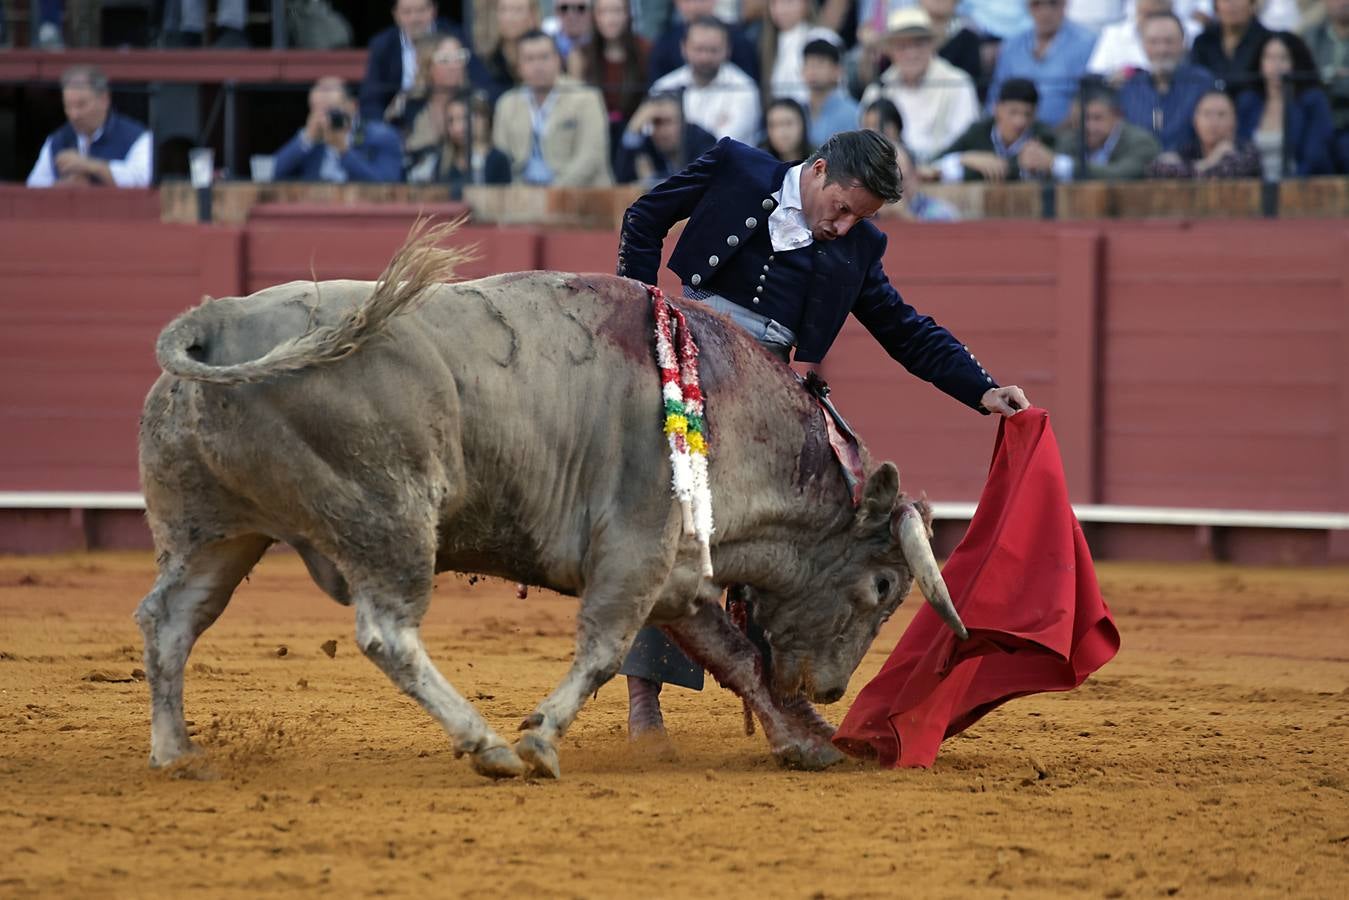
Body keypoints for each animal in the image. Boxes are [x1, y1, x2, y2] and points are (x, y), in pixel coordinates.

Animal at [136, 221, 965, 777]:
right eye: (883, 585)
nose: (830, 688)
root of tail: (218, 318)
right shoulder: (636, 548)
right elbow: (604, 650)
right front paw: (538, 739)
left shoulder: (675, 572)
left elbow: (733, 658)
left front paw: (803, 745)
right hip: (389, 517)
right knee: (385, 633)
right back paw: (488, 745)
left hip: (217, 532)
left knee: (170, 620)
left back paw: (177, 754)